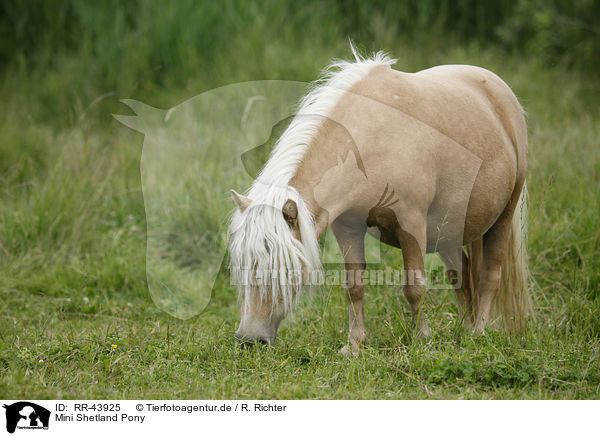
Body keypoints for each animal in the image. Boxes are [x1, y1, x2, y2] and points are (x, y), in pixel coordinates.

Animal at [226, 46, 528, 354]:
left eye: (281, 270)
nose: (249, 340)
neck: (371, 139)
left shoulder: (412, 224)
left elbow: (414, 285)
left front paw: (421, 339)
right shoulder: (347, 227)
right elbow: (353, 286)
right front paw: (354, 344)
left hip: (503, 217)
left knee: (490, 276)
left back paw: (478, 332)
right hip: (449, 233)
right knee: (462, 276)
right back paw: (464, 333)